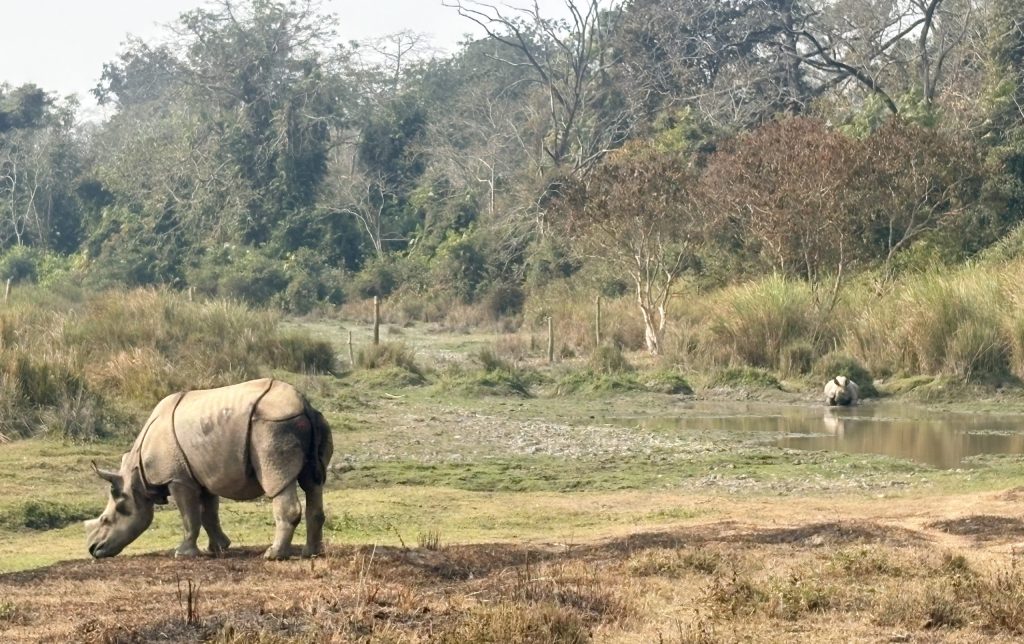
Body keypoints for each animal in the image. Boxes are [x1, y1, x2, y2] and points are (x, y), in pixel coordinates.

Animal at [85, 378, 333, 560]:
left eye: (106, 520)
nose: (94, 550)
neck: (136, 478)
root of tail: (303, 403)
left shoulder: (178, 478)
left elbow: (189, 516)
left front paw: (183, 554)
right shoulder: (203, 474)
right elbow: (208, 513)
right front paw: (218, 549)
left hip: (273, 425)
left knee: (279, 482)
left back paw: (272, 555)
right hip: (311, 421)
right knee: (313, 484)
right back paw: (310, 553)